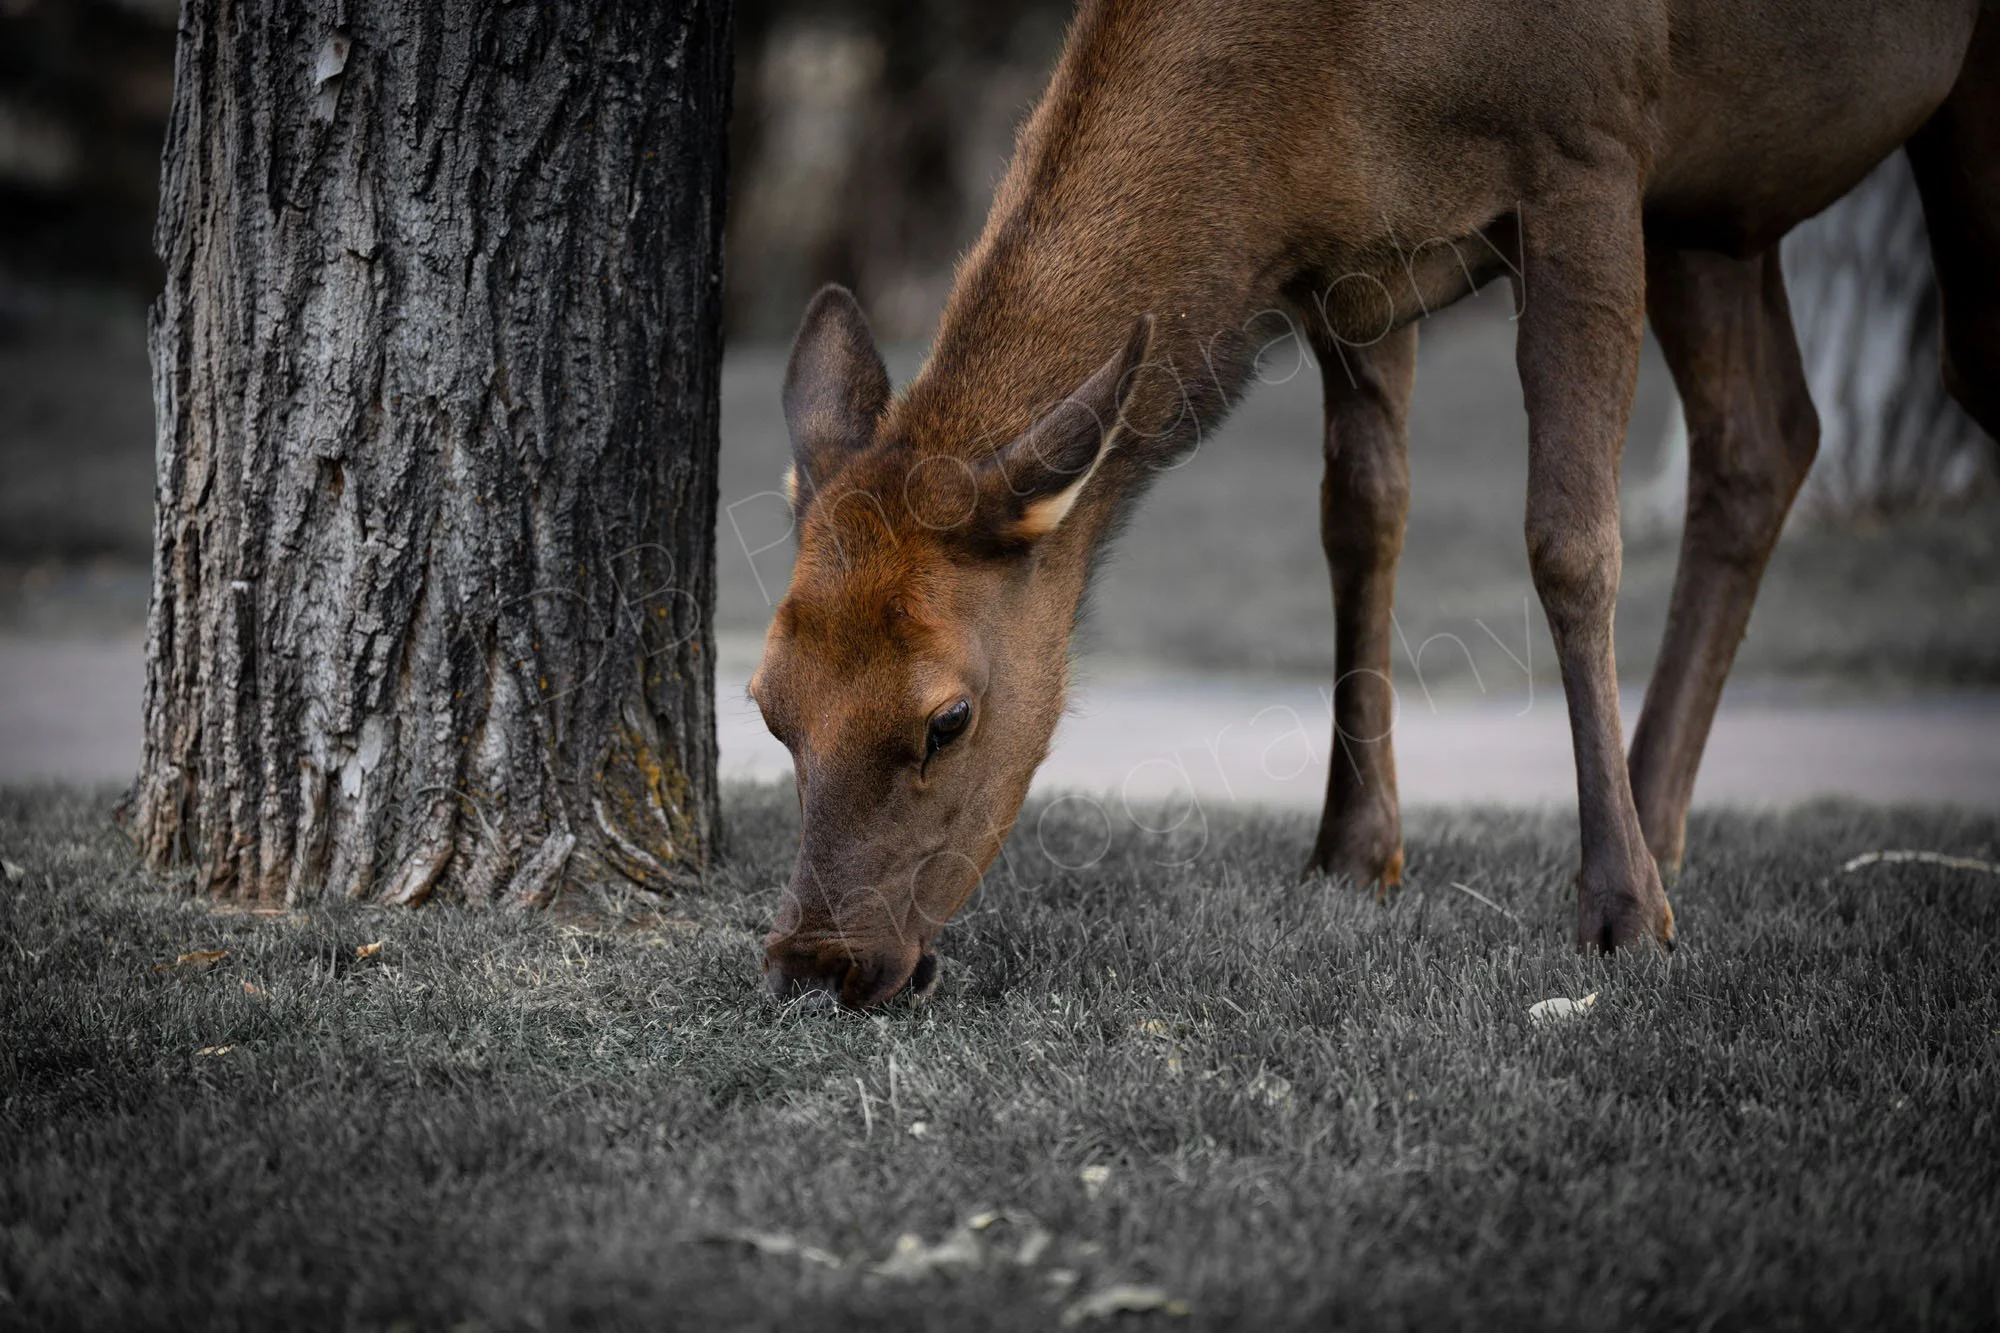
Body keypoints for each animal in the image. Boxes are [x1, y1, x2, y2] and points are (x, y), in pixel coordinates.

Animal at [749, 0, 2000, 1007]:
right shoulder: (1356, 271)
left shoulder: (1592, 146)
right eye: (768, 706)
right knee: (1767, 435)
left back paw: (1643, 854)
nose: (815, 962)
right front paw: (1353, 852)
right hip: (1714, 199)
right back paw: (1658, 821)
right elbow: (1359, 520)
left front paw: (1617, 914)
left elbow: (1568, 539)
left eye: (946, 718)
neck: (1319, 106)